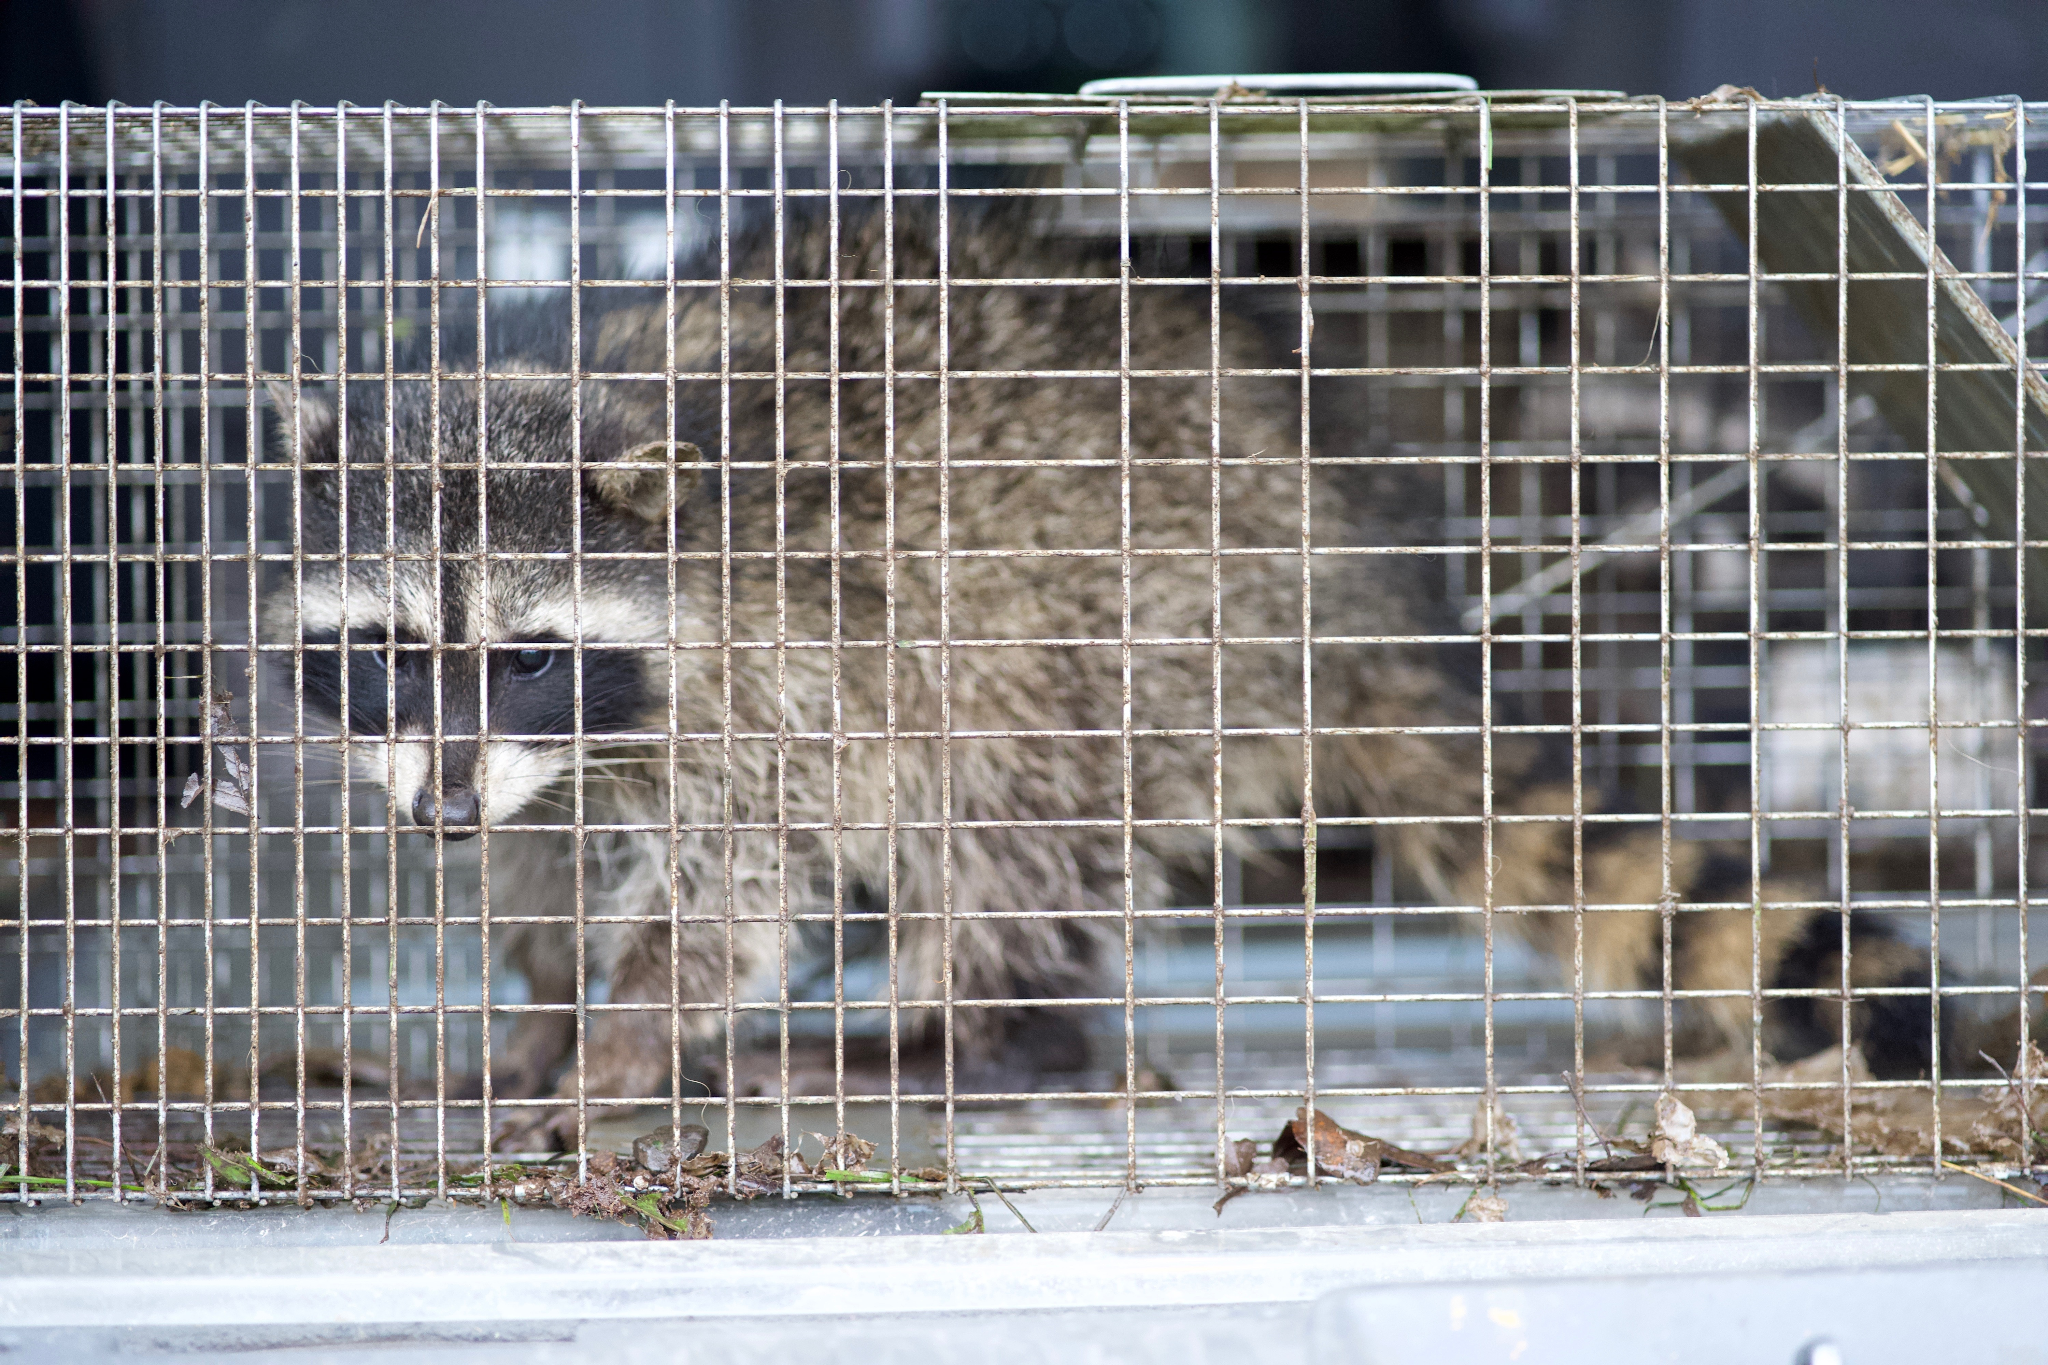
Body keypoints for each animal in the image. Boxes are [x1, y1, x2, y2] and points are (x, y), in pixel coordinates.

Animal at [264, 205, 2007, 1154]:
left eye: (527, 653)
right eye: (391, 652)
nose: (436, 818)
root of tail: (1348, 589)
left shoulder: (766, 675)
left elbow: (722, 896)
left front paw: (622, 1044)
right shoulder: (541, 766)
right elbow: (547, 870)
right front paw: (540, 1013)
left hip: (1128, 634)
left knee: (1001, 819)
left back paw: (961, 1037)